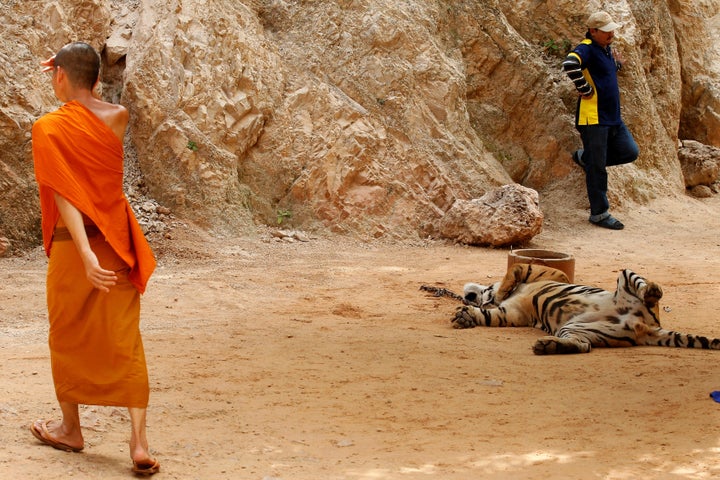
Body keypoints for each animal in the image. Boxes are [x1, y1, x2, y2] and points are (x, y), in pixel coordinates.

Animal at [452, 268, 720, 354]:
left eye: (484, 286)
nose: (467, 293)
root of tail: (647, 327)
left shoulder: (550, 273)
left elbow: (515, 270)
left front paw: (498, 290)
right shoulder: (512, 313)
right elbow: (490, 315)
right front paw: (465, 316)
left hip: (626, 275)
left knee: (647, 290)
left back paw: (653, 290)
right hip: (577, 328)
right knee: (584, 346)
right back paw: (549, 346)